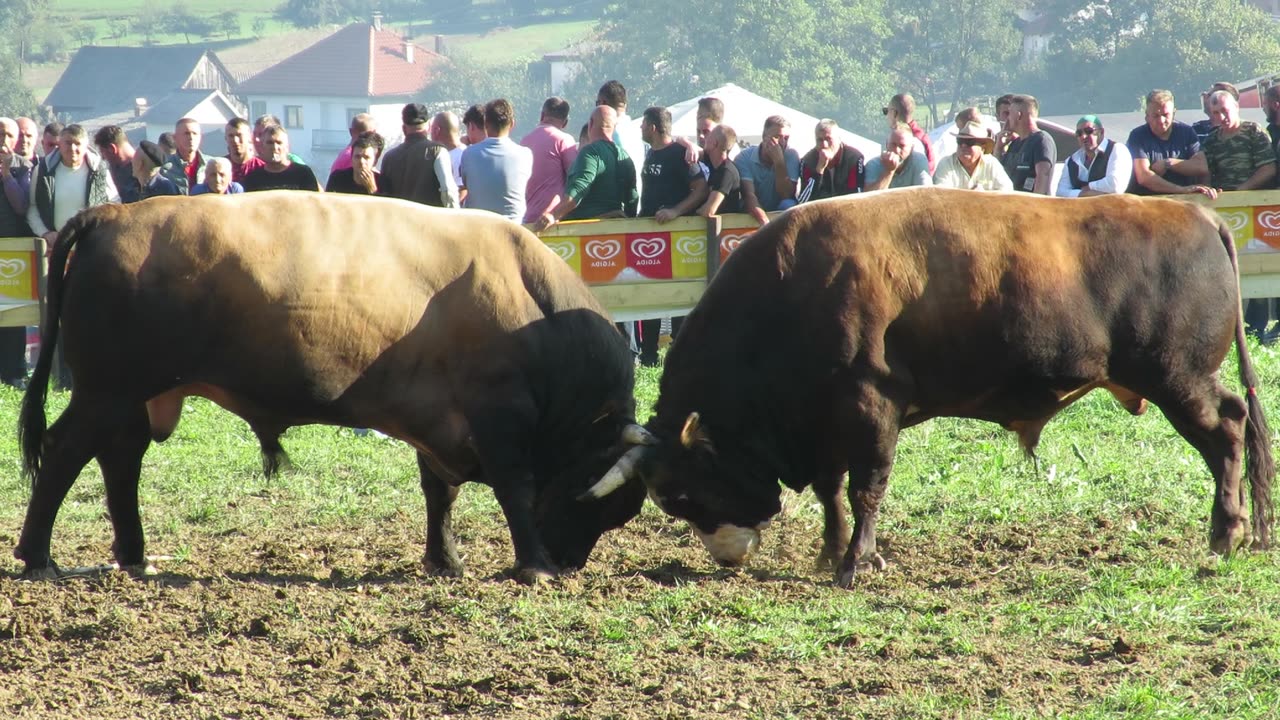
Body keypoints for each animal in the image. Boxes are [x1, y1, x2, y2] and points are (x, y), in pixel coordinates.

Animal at [15, 190, 645, 584]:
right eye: (600, 503)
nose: (570, 562)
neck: (528, 303)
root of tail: (113, 213)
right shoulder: (499, 415)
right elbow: (515, 488)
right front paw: (534, 565)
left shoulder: (438, 419)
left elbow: (439, 492)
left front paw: (445, 560)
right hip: (107, 391)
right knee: (66, 450)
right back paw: (38, 556)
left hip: (132, 398)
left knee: (120, 461)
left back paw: (135, 555)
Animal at [586, 188, 1269, 586]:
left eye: (679, 494)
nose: (728, 557)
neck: (797, 288)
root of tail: (1197, 214)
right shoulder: (825, 424)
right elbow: (832, 493)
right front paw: (833, 551)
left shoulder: (870, 407)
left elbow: (865, 488)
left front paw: (856, 563)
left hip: (1179, 379)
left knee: (1227, 434)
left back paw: (1226, 533)